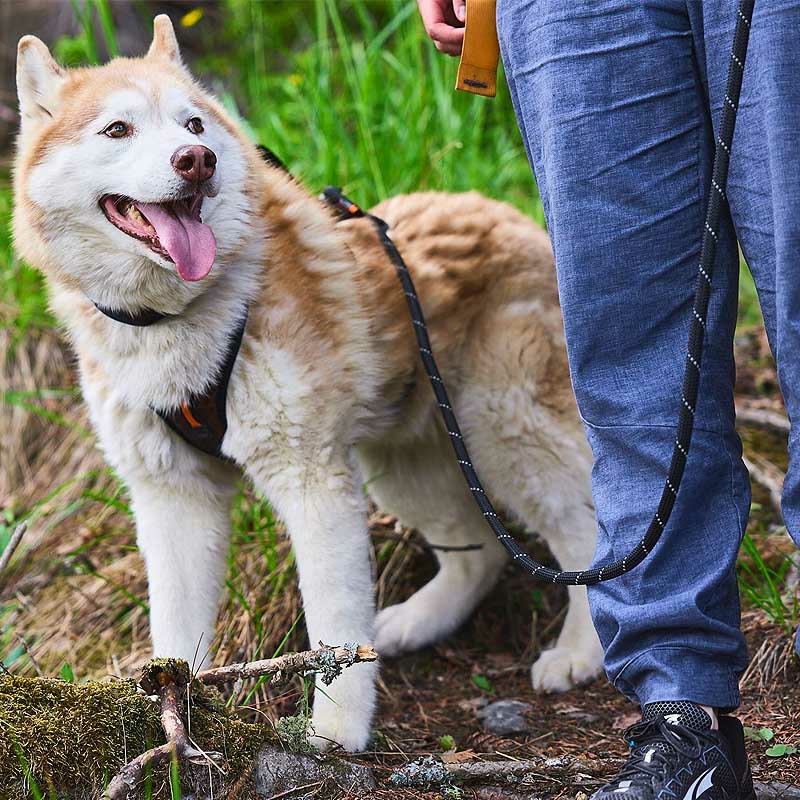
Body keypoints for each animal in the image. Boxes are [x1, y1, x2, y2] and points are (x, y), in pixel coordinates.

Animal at [14, 17, 600, 752]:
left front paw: (337, 736)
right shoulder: (172, 498)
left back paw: (580, 652)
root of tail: (513, 215)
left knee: (587, 540)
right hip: (405, 468)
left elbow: (335, 633)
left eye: (194, 124)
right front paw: (172, 720)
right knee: (481, 555)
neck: (178, 318)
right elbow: (175, 629)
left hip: (504, 436)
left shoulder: (312, 481)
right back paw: (415, 622)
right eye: (117, 129)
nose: (195, 160)